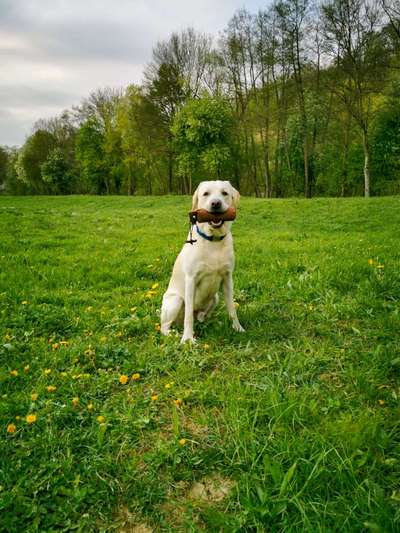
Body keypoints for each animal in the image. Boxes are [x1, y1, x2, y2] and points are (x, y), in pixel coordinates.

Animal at [160, 181, 244, 342]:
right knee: (165, 327)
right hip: (175, 300)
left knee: (201, 316)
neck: (214, 241)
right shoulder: (191, 279)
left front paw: (237, 328)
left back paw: (207, 323)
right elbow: (188, 316)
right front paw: (187, 339)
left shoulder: (227, 278)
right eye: (206, 194)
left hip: (215, 298)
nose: (216, 203)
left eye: (224, 193)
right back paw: (175, 333)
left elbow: (231, 308)